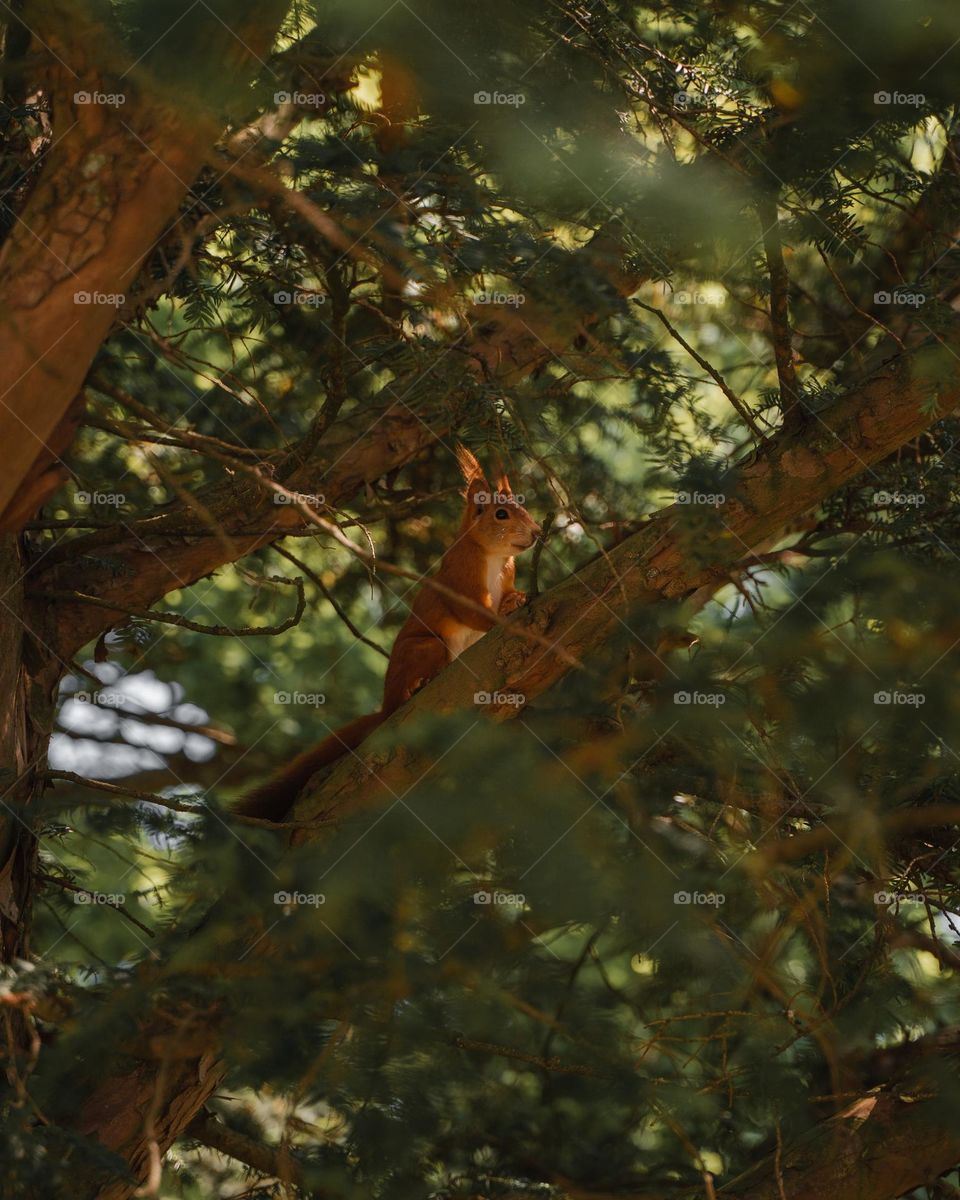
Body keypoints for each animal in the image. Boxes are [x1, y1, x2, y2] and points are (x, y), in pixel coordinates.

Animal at [235, 446, 541, 822]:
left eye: (523, 507)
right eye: (501, 513)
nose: (537, 532)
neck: (496, 558)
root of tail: (386, 704)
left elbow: (508, 593)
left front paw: (517, 598)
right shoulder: (460, 583)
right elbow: (473, 613)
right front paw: (502, 614)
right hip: (428, 648)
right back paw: (418, 686)